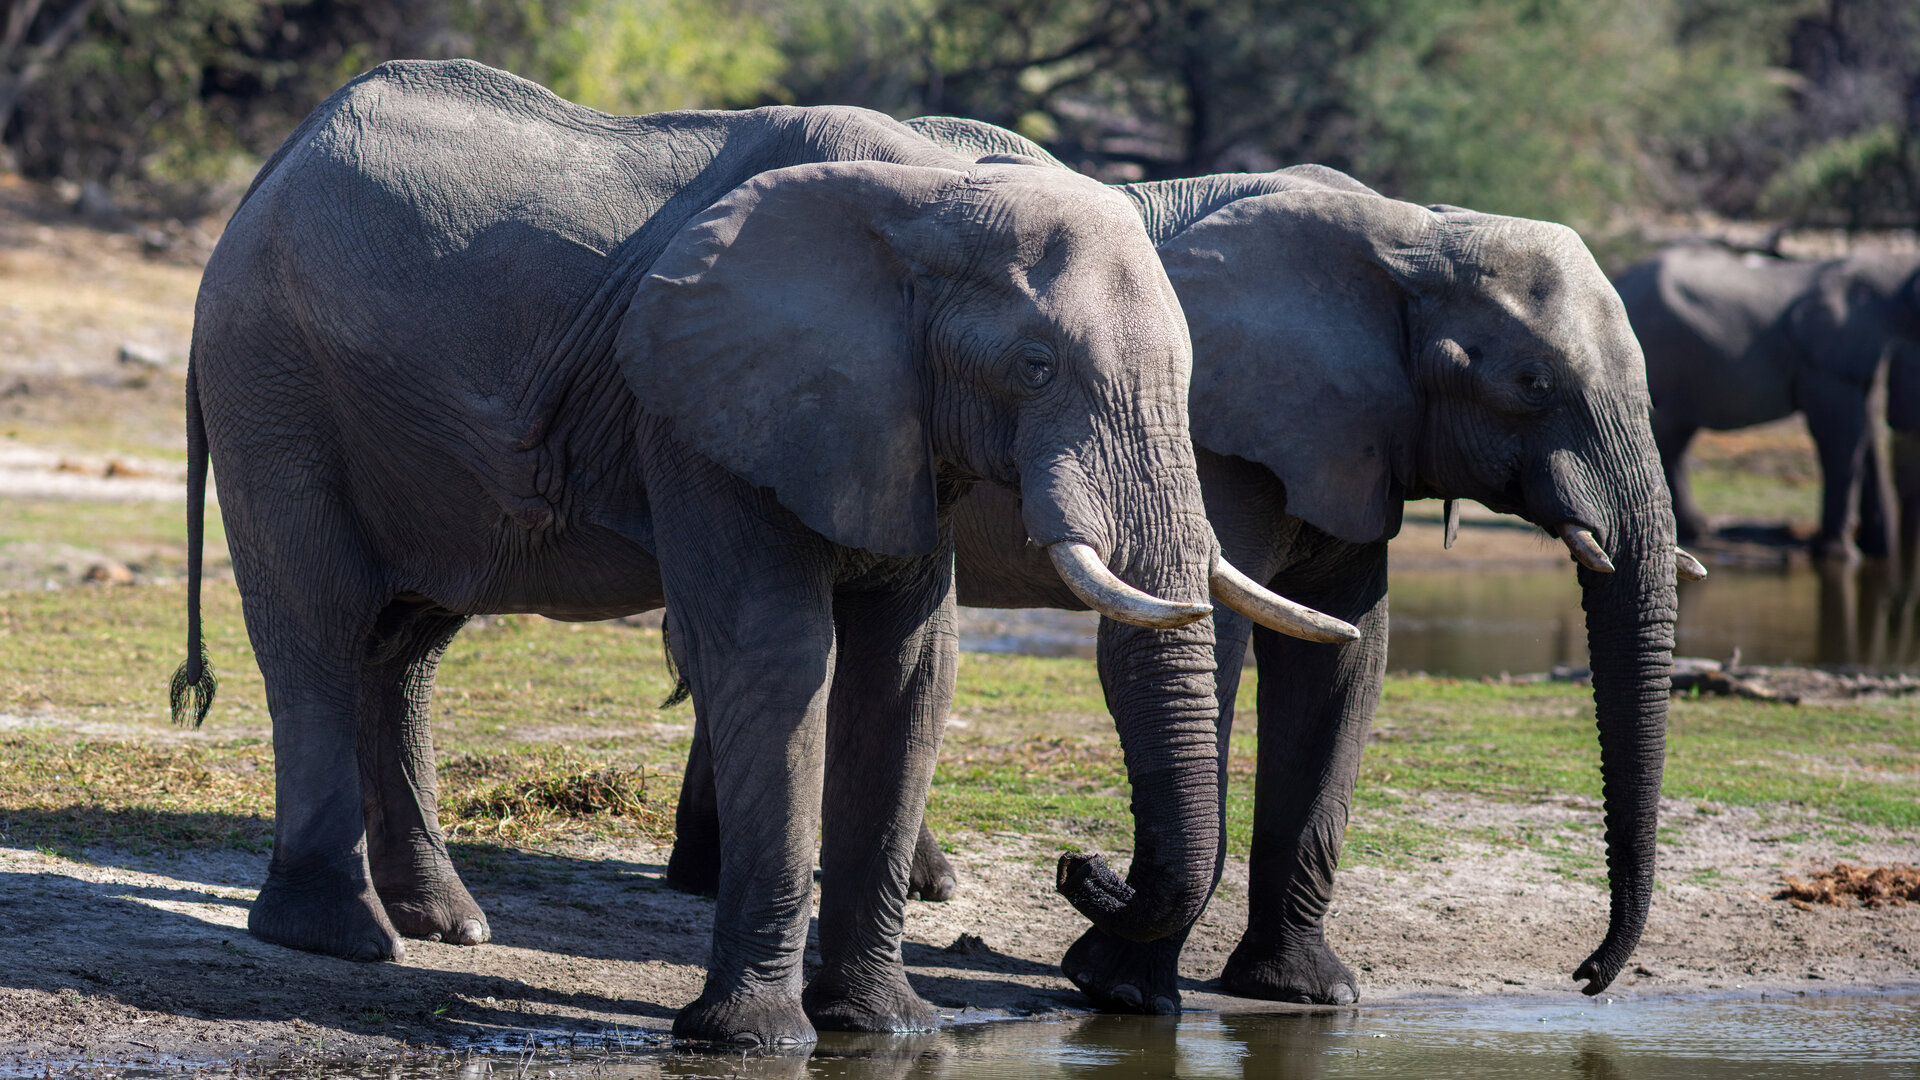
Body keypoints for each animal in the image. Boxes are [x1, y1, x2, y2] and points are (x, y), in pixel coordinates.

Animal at [171, 61, 1355, 1047]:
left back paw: (447, 925)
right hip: (274, 377)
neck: (933, 191)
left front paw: (887, 1029)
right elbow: (775, 655)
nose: (1080, 867)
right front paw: (755, 1041)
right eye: (1035, 366)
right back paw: (339, 935)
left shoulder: (891, 418)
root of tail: (270, 168)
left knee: (407, 642)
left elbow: (912, 669)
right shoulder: (706, 406)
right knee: (318, 626)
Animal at [667, 116, 1689, 1012]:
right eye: (1533, 385)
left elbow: (1345, 662)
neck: (1417, 233)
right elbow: (1210, 636)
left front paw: (1306, 995)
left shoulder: (1355, 435)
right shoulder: (1224, 436)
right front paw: (1120, 992)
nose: (1586, 977)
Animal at [1614, 245, 1920, 562]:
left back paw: (1697, 528)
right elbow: (1840, 433)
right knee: (1668, 433)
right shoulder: (1825, 358)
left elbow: (1862, 431)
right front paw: (1839, 555)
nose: (1884, 551)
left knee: (1673, 437)